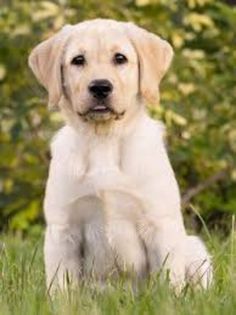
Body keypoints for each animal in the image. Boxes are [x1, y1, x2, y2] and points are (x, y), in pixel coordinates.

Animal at [28, 18, 213, 292]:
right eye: (78, 60)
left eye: (120, 58)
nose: (100, 87)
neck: (104, 140)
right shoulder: (63, 231)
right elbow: (61, 287)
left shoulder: (159, 224)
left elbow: (168, 281)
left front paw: (168, 298)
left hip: (193, 247)